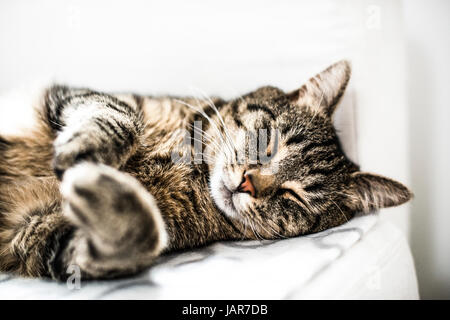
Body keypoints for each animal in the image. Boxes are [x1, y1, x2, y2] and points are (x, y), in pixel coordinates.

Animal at [0, 60, 412, 280]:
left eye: (293, 196)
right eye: (269, 143)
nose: (248, 183)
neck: (194, 173)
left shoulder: (38, 236)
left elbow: (139, 235)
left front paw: (111, 198)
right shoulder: (86, 96)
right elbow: (119, 118)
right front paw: (86, 149)